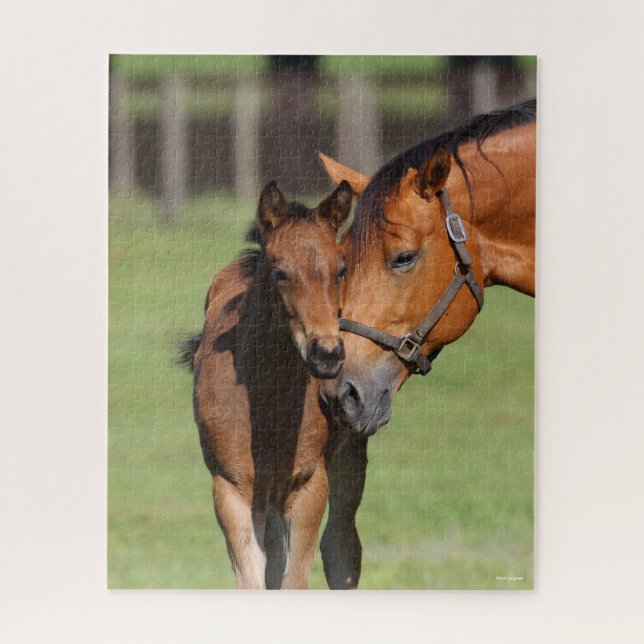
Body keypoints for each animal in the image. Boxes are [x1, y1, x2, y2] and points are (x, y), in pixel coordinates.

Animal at [183, 180, 352, 589]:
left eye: (341, 270)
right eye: (279, 273)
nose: (327, 353)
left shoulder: (308, 486)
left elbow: (294, 578)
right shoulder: (232, 491)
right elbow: (252, 578)